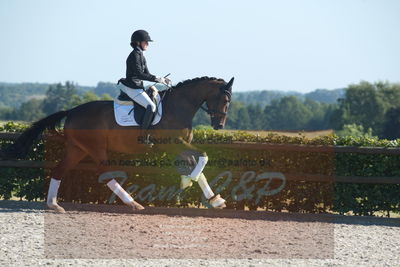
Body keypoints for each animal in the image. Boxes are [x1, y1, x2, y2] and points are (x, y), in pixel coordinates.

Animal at [1, 77, 234, 214]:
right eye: (224, 100)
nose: (219, 126)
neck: (178, 107)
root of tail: (72, 111)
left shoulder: (180, 146)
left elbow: (197, 165)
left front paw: (214, 200)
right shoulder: (173, 144)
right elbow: (202, 157)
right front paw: (189, 182)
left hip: (77, 149)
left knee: (60, 170)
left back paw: (53, 204)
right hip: (95, 148)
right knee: (105, 173)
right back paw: (132, 203)